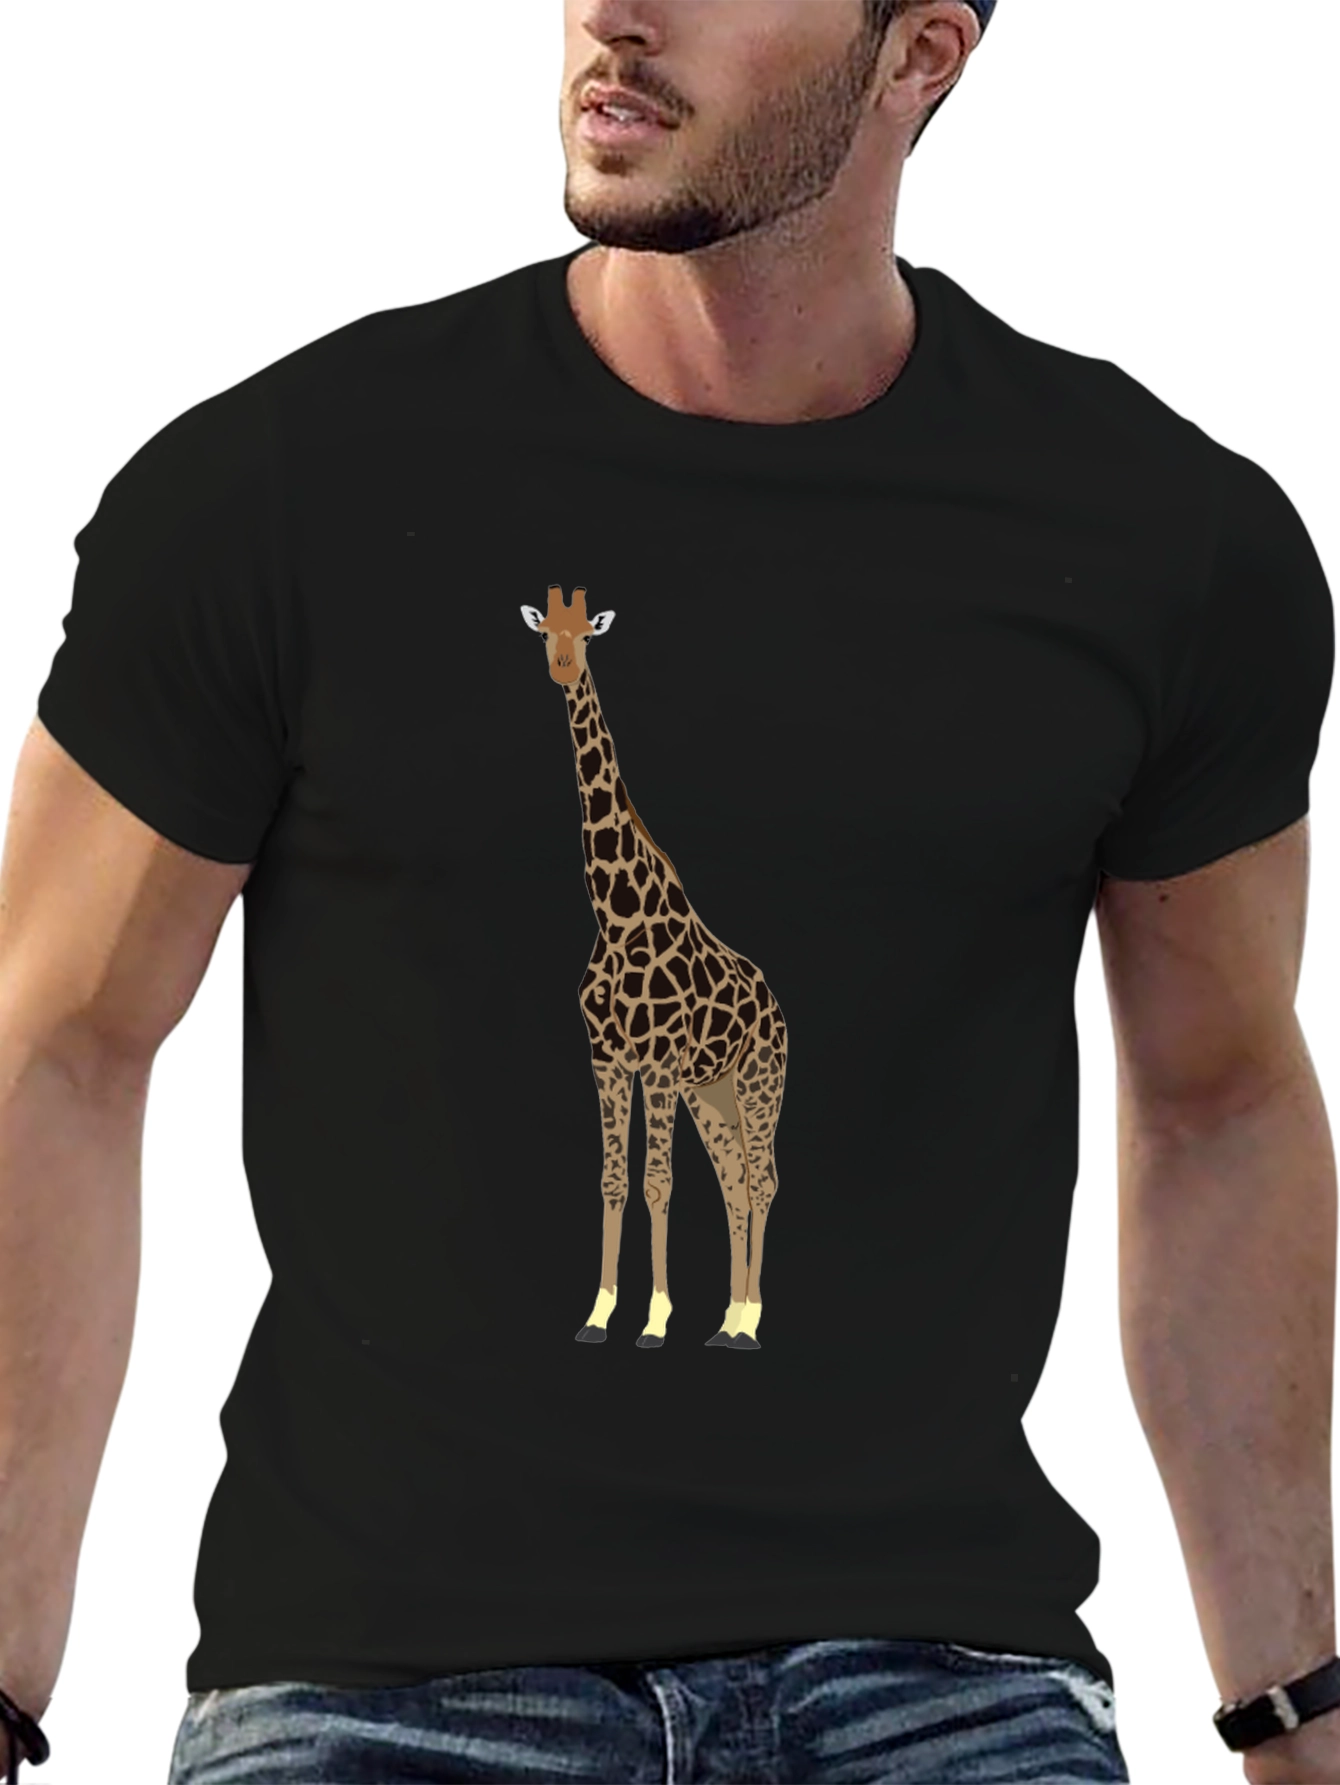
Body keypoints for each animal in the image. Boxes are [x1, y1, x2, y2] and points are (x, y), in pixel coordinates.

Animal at [522, 587, 787, 1349]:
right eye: (546, 631)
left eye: (588, 635)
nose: (560, 666)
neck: (615, 915)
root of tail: (775, 1002)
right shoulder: (609, 1057)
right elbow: (615, 1180)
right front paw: (599, 1312)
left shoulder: (660, 1060)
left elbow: (657, 1182)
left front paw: (656, 1319)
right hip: (712, 1092)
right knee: (735, 1183)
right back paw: (729, 1318)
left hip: (757, 1081)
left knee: (763, 1179)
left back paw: (751, 1321)